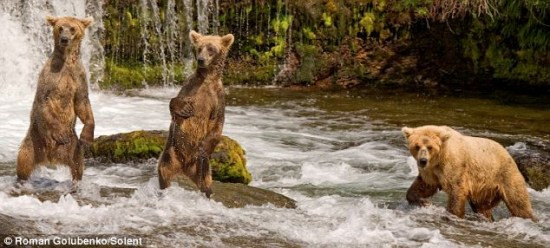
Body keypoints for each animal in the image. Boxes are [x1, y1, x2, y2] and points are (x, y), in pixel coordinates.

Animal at [15, 15, 96, 182]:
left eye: (72, 28)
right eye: (60, 28)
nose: (64, 39)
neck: (67, 61)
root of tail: (50, 158)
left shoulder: (79, 76)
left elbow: (82, 102)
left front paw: (87, 137)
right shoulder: (51, 76)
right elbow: (45, 99)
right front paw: (59, 133)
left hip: (73, 146)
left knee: (78, 165)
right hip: (34, 141)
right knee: (23, 161)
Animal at [157, 30, 235, 198]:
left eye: (211, 48)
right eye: (199, 48)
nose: (201, 60)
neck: (207, 80)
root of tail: (185, 167)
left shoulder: (217, 99)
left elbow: (217, 124)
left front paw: (204, 149)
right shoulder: (190, 87)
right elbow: (175, 103)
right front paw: (185, 108)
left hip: (201, 167)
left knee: (206, 183)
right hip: (172, 153)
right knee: (164, 171)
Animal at [404, 126, 536, 221]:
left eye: (430, 147)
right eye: (417, 146)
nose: (422, 160)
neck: (439, 159)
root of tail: (508, 153)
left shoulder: (454, 166)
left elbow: (456, 191)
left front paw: (453, 214)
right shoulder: (431, 171)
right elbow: (425, 185)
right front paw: (422, 201)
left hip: (504, 174)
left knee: (518, 201)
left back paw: (529, 218)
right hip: (484, 189)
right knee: (481, 207)